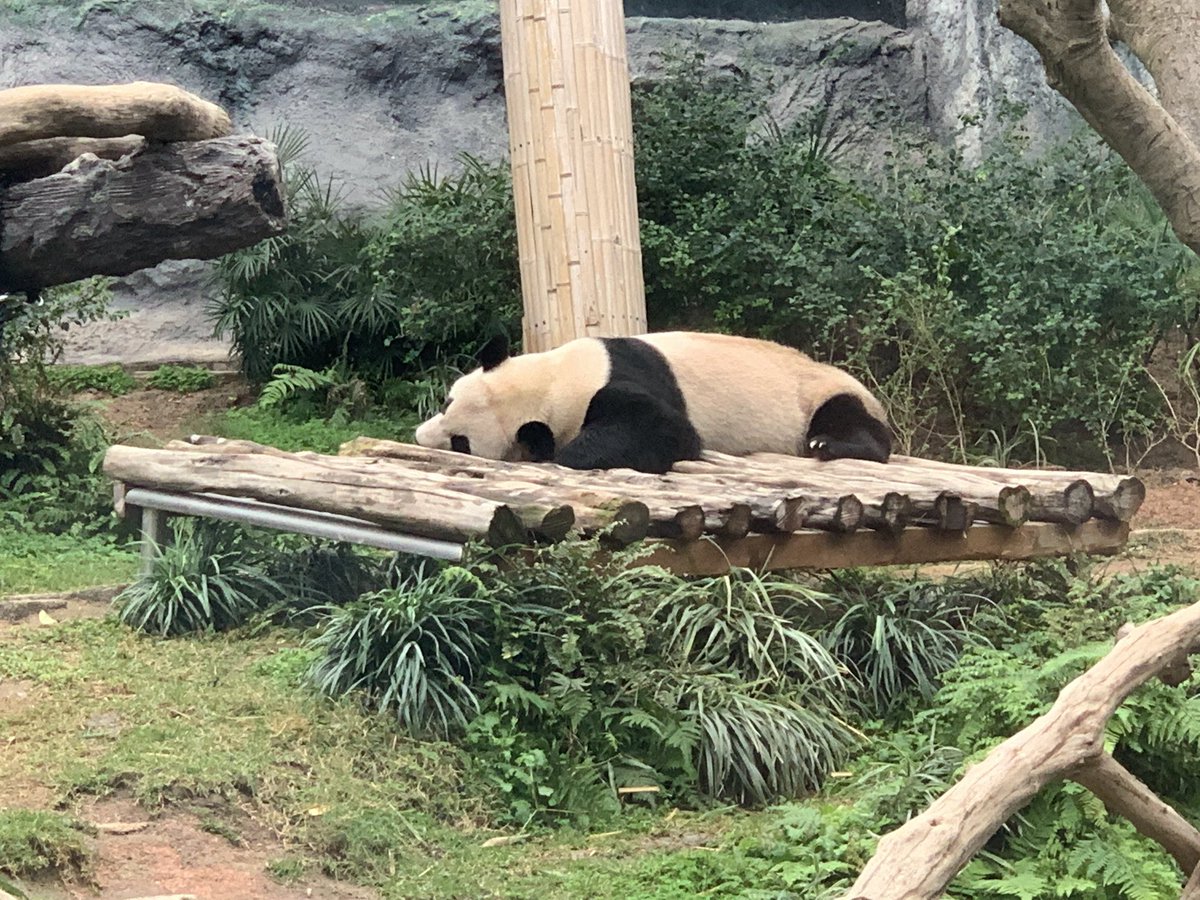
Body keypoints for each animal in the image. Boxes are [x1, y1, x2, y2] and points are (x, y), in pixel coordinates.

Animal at [414, 331, 892, 474]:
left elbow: (670, 432)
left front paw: (569, 454)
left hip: (819, 392)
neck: (554, 378)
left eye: (461, 442)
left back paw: (829, 444)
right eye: (446, 402)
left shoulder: (619, 386)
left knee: (845, 417)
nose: (420, 437)